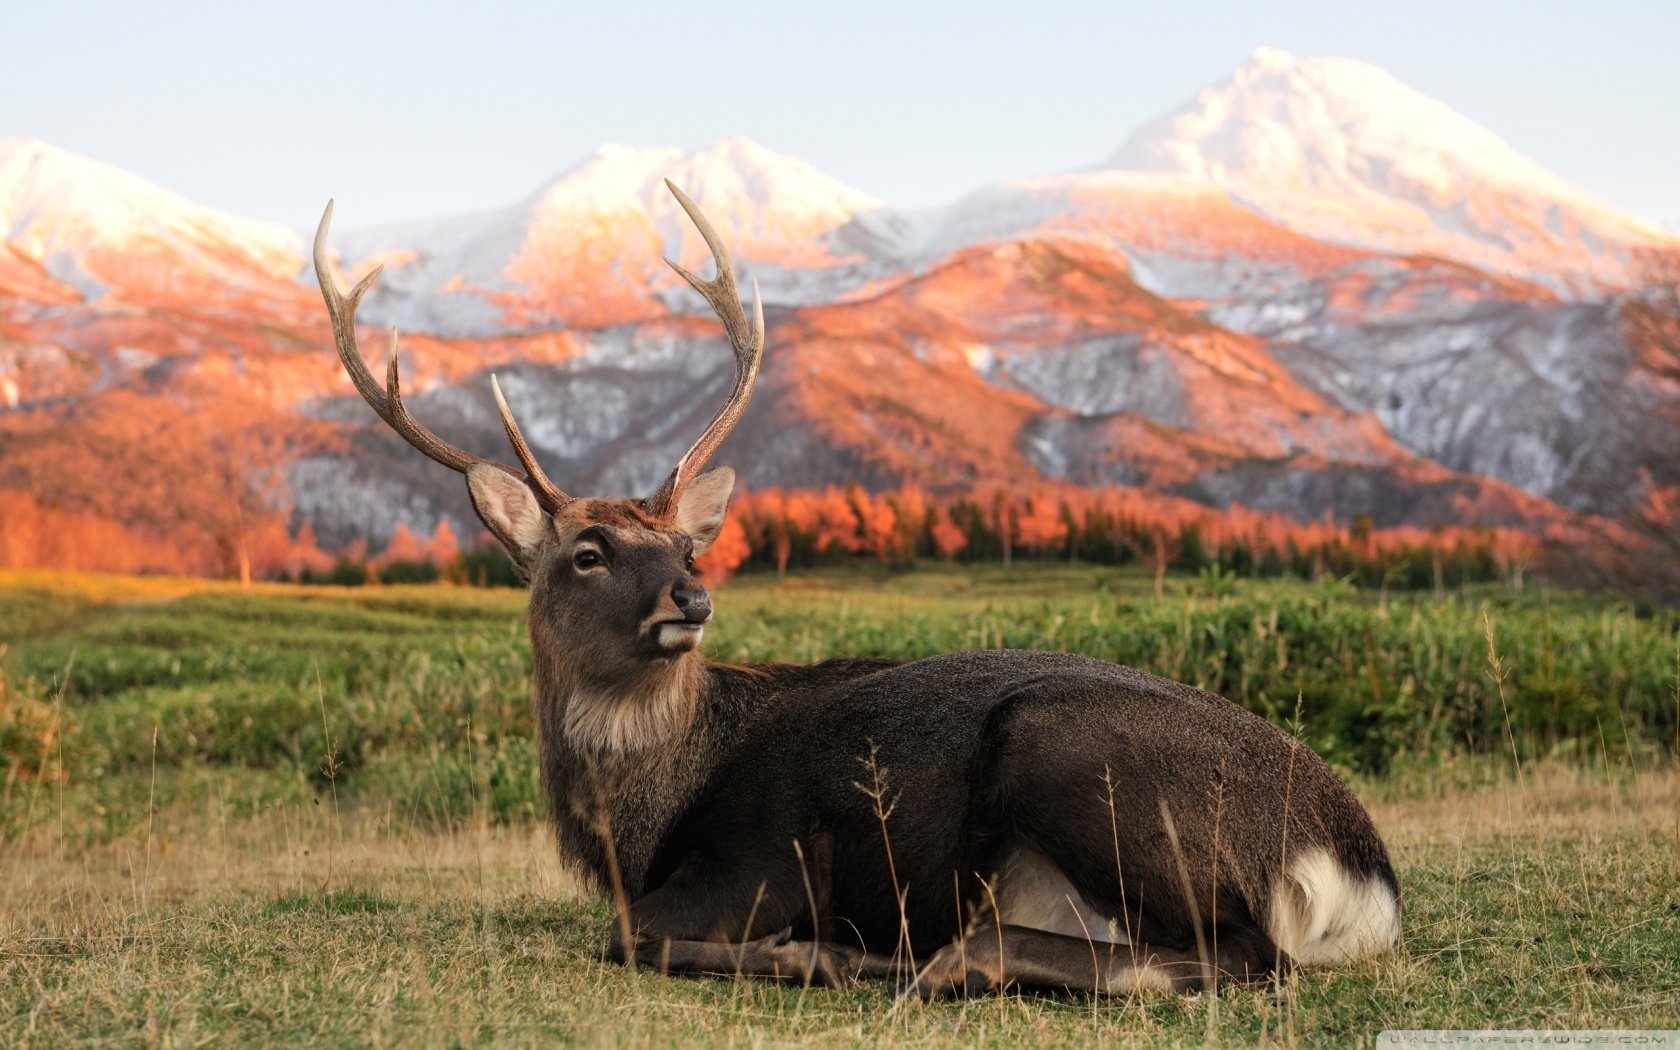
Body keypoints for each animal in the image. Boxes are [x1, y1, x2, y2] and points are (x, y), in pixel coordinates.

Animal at [312, 182, 1401, 998]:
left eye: (686, 546)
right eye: (586, 551)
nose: (689, 602)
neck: (640, 821)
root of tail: (1360, 873)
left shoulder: (759, 856)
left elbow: (626, 936)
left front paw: (812, 952)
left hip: (1070, 751)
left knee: (1245, 956)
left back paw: (918, 959)